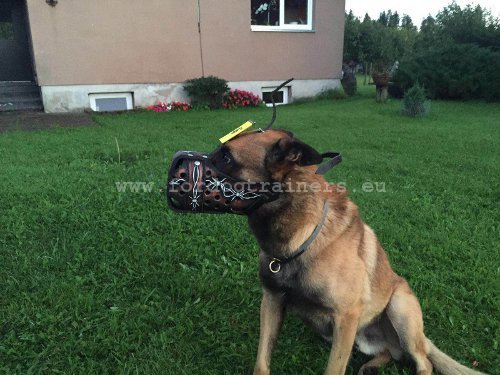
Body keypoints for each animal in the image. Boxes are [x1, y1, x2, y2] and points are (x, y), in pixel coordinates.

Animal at [204, 130, 484, 375]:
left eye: (226, 158)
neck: (299, 239)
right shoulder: (271, 302)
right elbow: (262, 361)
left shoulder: (346, 317)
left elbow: (334, 369)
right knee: (391, 353)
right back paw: (372, 366)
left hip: (397, 309)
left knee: (422, 361)